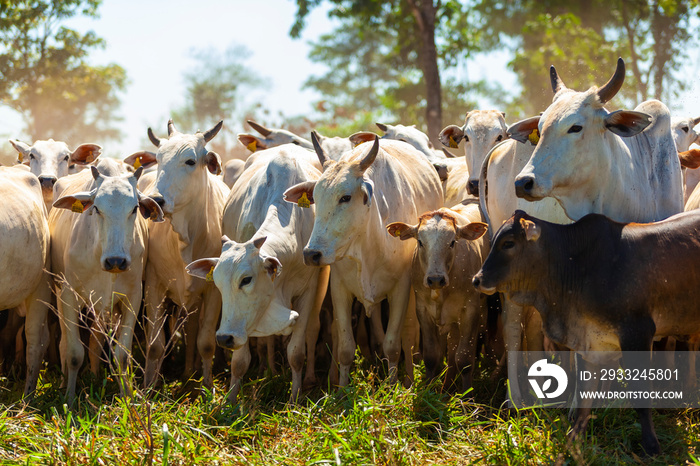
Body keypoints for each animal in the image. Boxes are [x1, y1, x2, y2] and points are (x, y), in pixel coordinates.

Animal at [50, 159, 164, 400]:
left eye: (135, 208)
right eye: (96, 208)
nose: (116, 261)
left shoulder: (133, 298)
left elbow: (122, 355)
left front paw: (127, 396)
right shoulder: (69, 295)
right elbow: (74, 353)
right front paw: (69, 399)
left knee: (95, 342)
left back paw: (95, 376)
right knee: (64, 342)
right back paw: (65, 382)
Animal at [142, 118, 230, 388]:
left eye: (190, 161)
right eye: (158, 158)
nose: (154, 201)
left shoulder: (213, 292)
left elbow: (206, 342)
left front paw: (208, 387)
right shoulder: (154, 285)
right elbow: (155, 346)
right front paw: (148, 387)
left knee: (193, 331)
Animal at [186, 146, 328, 400]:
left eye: (246, 280)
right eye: (218, 284)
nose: (223, 338)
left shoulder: (308, 292)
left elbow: (296, 353)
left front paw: (295, 398)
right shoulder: (244, 321)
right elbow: (239, 361)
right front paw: (231, 400)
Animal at [284, 137, 442, 386]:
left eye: (345, 197)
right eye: (315, 198)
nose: (311, 254)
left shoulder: (401, 288)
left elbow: (393, 345)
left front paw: (393, 386)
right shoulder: (339, 288)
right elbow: (346, 348)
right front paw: (342, 388)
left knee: (409, 332)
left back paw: (408, 377)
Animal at [470, 210, 700, 456]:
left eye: (508, 243)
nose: (476, 279)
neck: (575, 266)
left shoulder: (637, 334)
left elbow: (640, 393)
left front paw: (651, 446)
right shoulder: (588, 341)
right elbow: (584, 395)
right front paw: (574, 439)